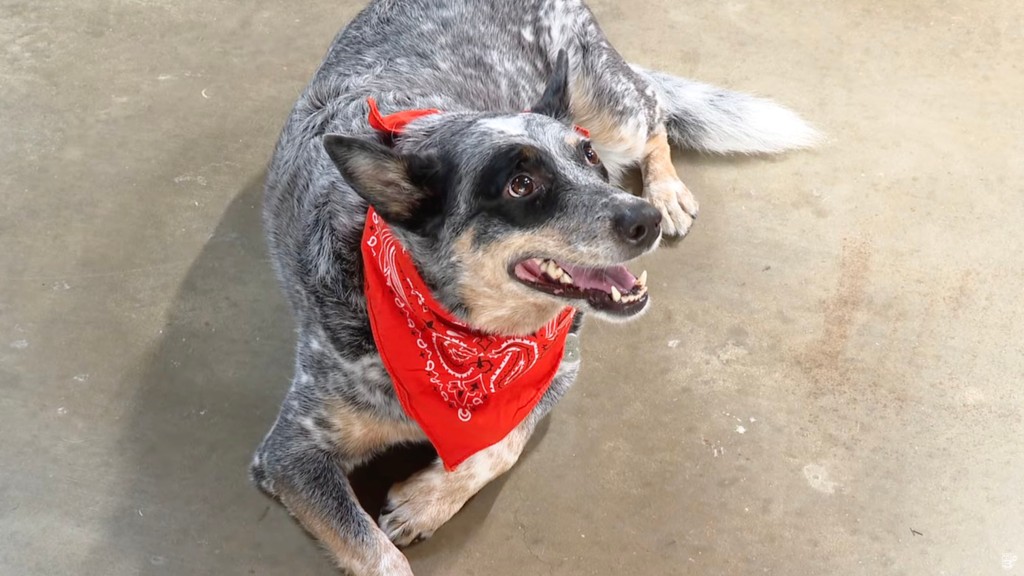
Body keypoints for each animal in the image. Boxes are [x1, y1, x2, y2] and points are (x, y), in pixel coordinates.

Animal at [249, 2, 815, 569]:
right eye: (521, 184)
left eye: (587, 158)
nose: (645, 220)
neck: (465, 336)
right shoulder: (290, 454)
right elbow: (377, 553)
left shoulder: (559, 367)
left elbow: (501, 444)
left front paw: (424, 501)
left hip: (611, 108)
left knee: (653, 113)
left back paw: (667, 189)